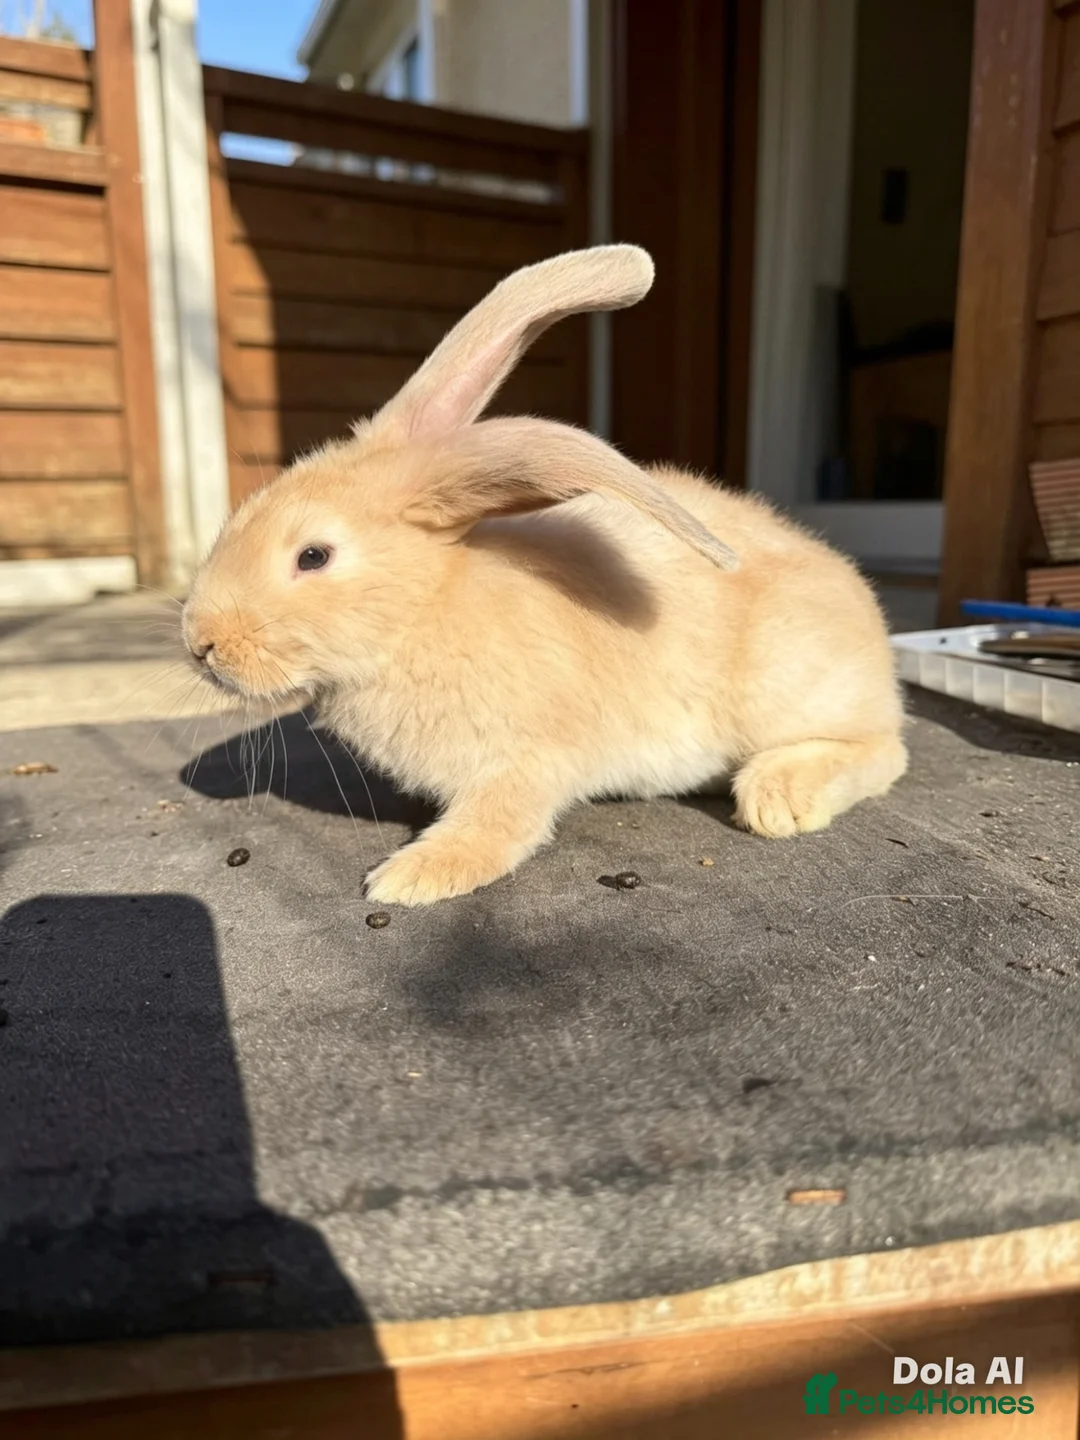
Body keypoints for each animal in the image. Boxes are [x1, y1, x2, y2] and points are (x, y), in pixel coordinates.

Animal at [182, 244, 907, 906]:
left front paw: (410, 878)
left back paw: (776, 797)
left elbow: (499, 825)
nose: (199, 643)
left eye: (313, 556)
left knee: (884, 749)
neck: (426, 611)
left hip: (788, 691)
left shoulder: (523, 761)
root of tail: (867, 617)